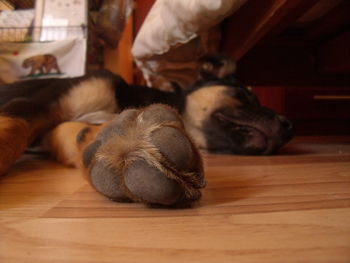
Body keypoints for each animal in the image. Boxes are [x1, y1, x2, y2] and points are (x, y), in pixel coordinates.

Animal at [0, 56, 292, 208]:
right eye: (246, 95)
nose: (290, 126)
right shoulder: (34, 105)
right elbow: (12, 129)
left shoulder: (56, 130)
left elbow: (82, 134)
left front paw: (117, 146)